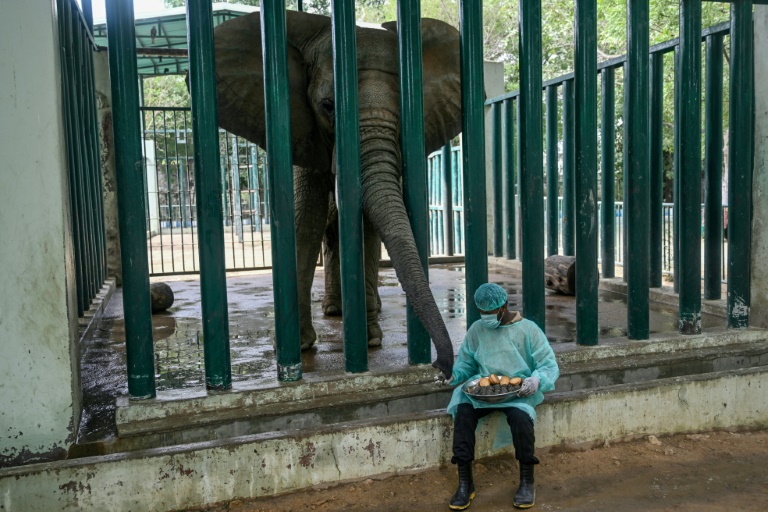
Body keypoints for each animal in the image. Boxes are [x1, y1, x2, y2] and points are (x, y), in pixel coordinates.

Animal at [213, 11, 462, 378]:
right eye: (328, 106)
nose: (440, 366)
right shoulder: (301, 133)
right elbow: (305, 220)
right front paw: (298, 347)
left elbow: (367, 226)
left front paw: (371, 340)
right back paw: (333, 311)